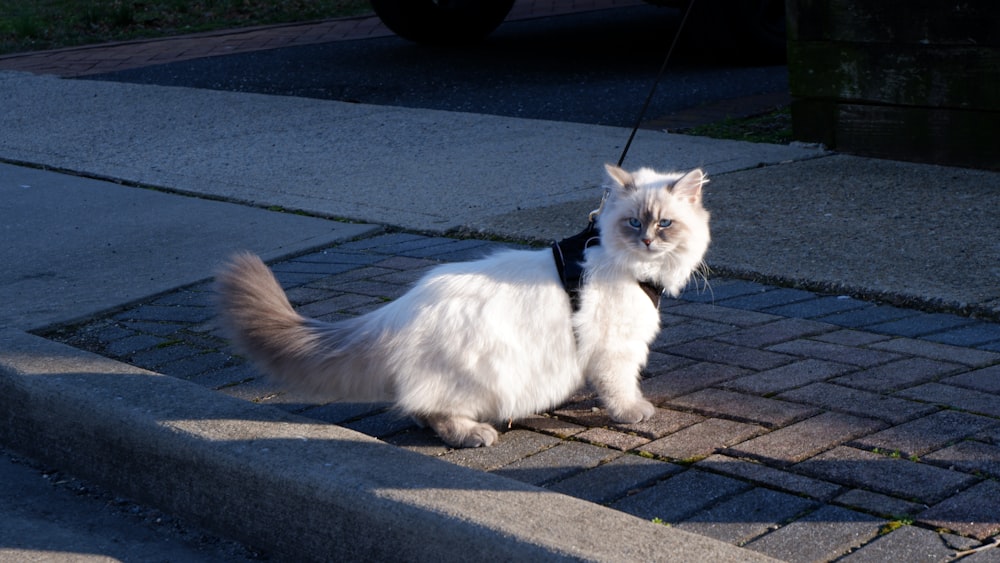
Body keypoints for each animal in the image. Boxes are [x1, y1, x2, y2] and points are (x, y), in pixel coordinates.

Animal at [215, 164, 712, 450]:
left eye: (665, 224)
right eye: (634, 223)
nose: (647, 241)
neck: (626, 265)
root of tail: (400, 307)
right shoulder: (615, 351)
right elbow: (620, 389)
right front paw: (632, 412)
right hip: (478, 374)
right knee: (427, 408)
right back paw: (473, 435)